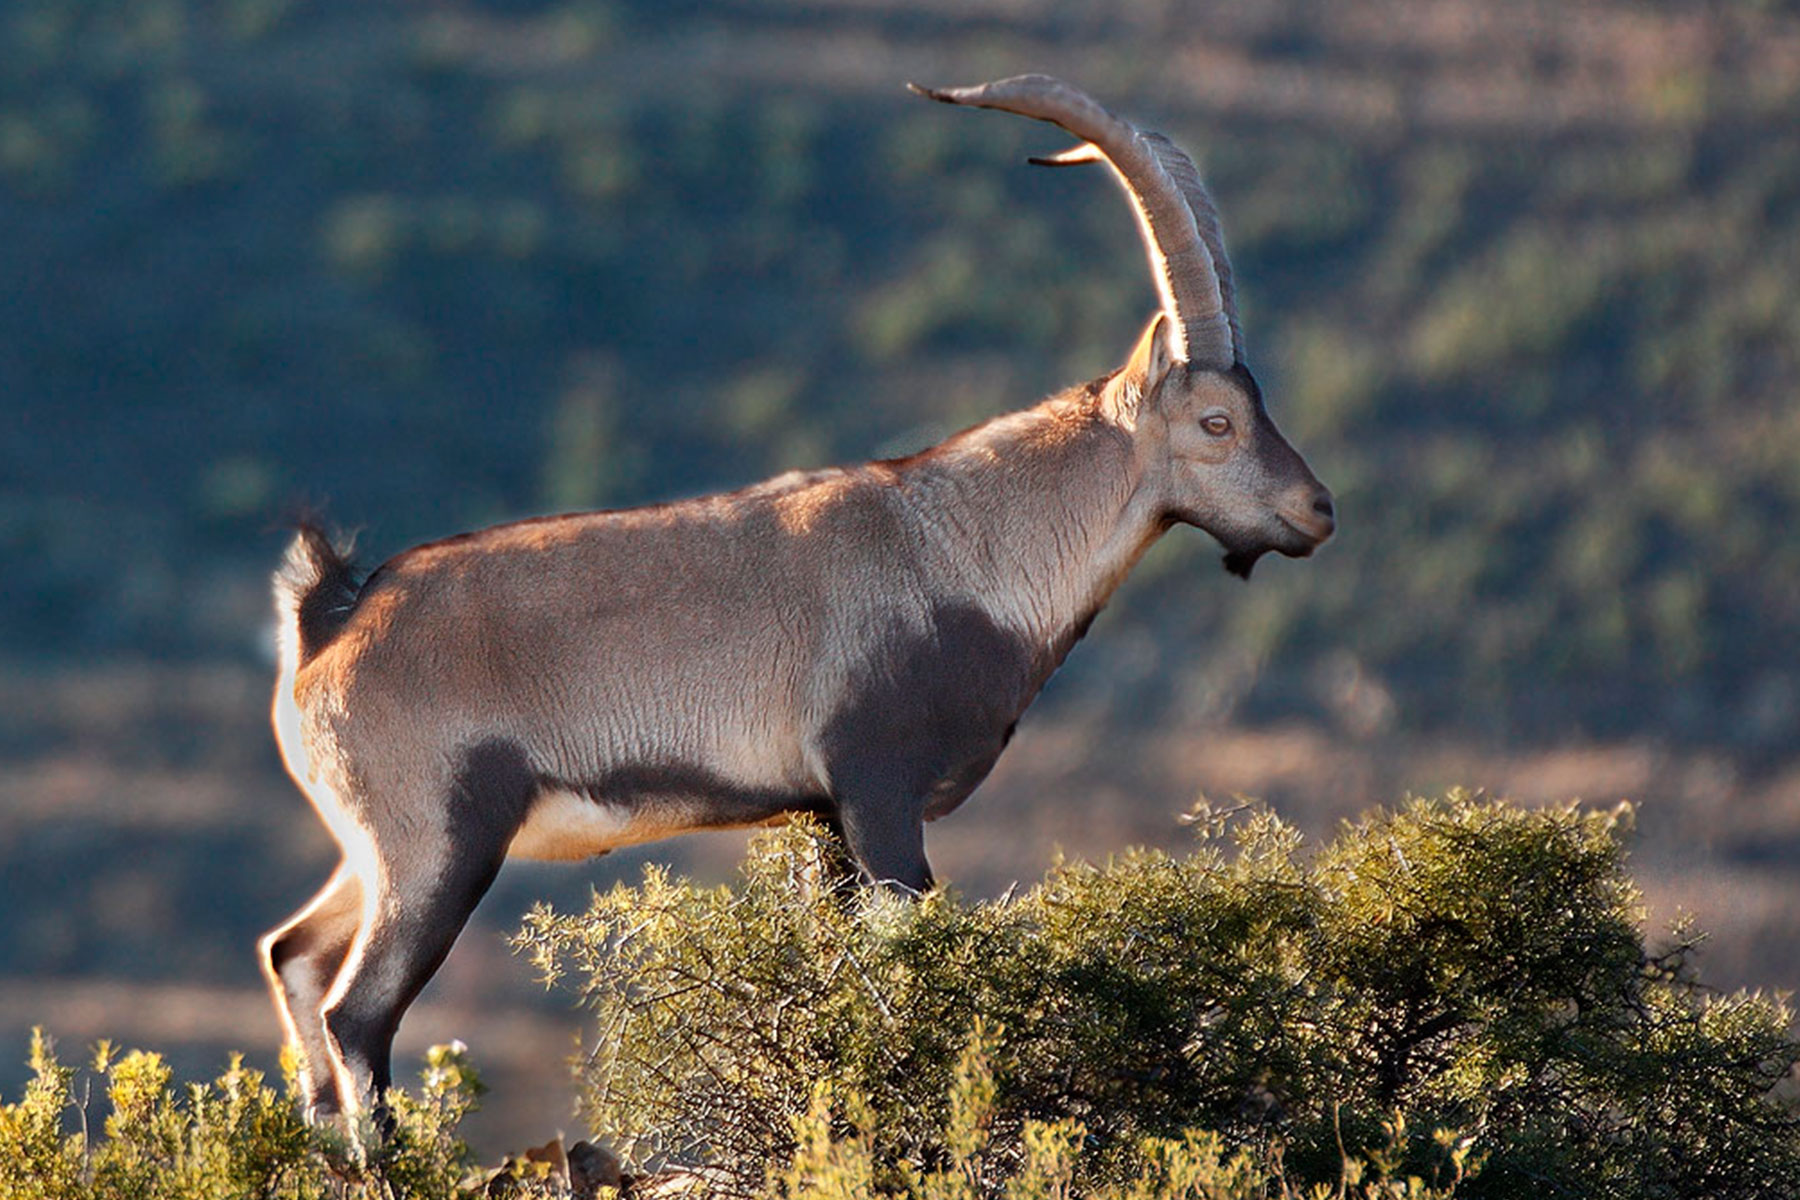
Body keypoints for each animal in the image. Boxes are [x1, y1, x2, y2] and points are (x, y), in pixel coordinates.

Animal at [262, 77, 1339, 1129]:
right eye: (1216, 421)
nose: (1317, 511)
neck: (962, 550)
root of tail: (327, 624)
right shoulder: (878, 791)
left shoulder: (825, 818)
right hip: (437, 848)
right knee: (356, 1014)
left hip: (378, 851)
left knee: (295, 956)